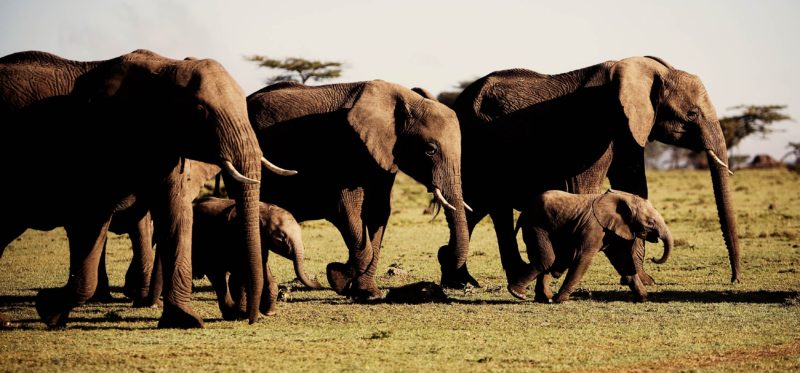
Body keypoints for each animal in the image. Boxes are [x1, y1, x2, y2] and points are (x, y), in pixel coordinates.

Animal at [0, 50, 290, 328]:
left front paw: (184, 320)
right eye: (199, 111)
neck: (166, 67)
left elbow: (176, 213)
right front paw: (47, 308)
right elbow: (93, 218)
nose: (250, 318)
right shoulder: (98, 142)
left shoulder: (163, 144)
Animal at [192, 195, 320, 320]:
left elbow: (262, 268)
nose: (318, 283)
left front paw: (268, 312)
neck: (261, 210)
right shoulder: (235, 237)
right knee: (218, 276)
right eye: (280, 238)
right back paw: (231, 314)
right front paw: (244, 314)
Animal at [245, 80, 468, 304]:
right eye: (430, 150)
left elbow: (379, 213)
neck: (404, 99)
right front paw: (336, 277)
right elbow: (347, 211)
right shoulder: (347, 149)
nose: (443, 251)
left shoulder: (384, 159)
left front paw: (367, 293)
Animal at [510, 189, 672, 302]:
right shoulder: (594, 227)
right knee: (547, 260)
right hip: (536, 226)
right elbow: (584, 258)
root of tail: (524, 211)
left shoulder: (613, 231)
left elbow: (623, 261)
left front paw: (644, 298)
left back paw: (545, 298)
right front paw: (560, 300)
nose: (654, 258)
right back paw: (518, 293)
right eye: (650, 222)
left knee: (550, 261)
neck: (625, 198)